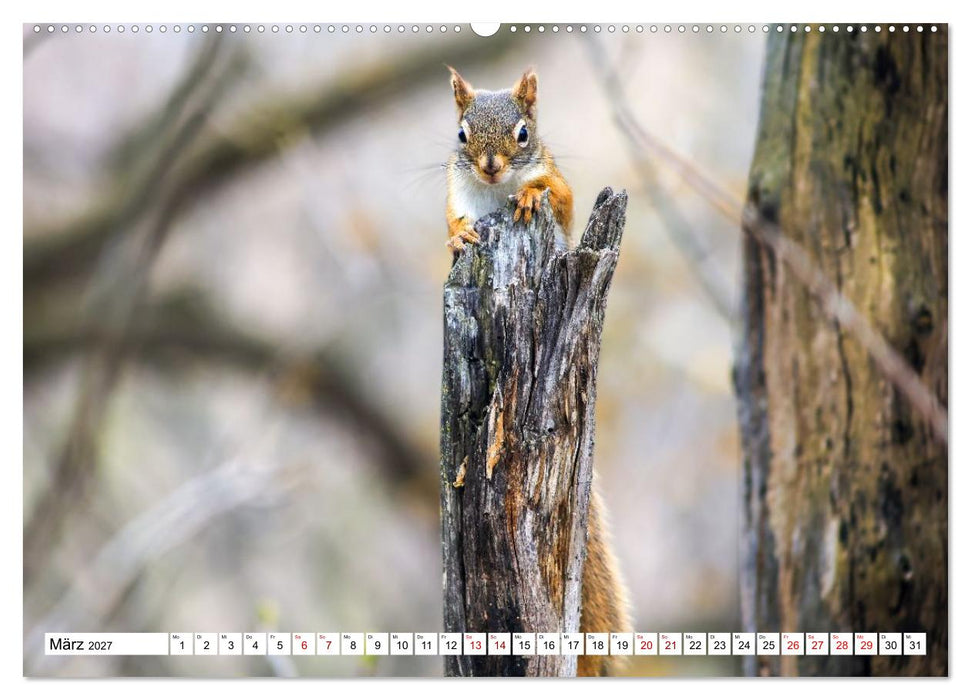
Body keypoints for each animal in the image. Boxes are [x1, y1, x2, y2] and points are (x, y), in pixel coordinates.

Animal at [445, 67, 631, 677]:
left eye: (523, 133)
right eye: (461, 134)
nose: (490, 167)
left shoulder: (562, 191)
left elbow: (560, 196)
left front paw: (529, 193)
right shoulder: (456, 193)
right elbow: (454, 223)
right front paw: (458, 236)